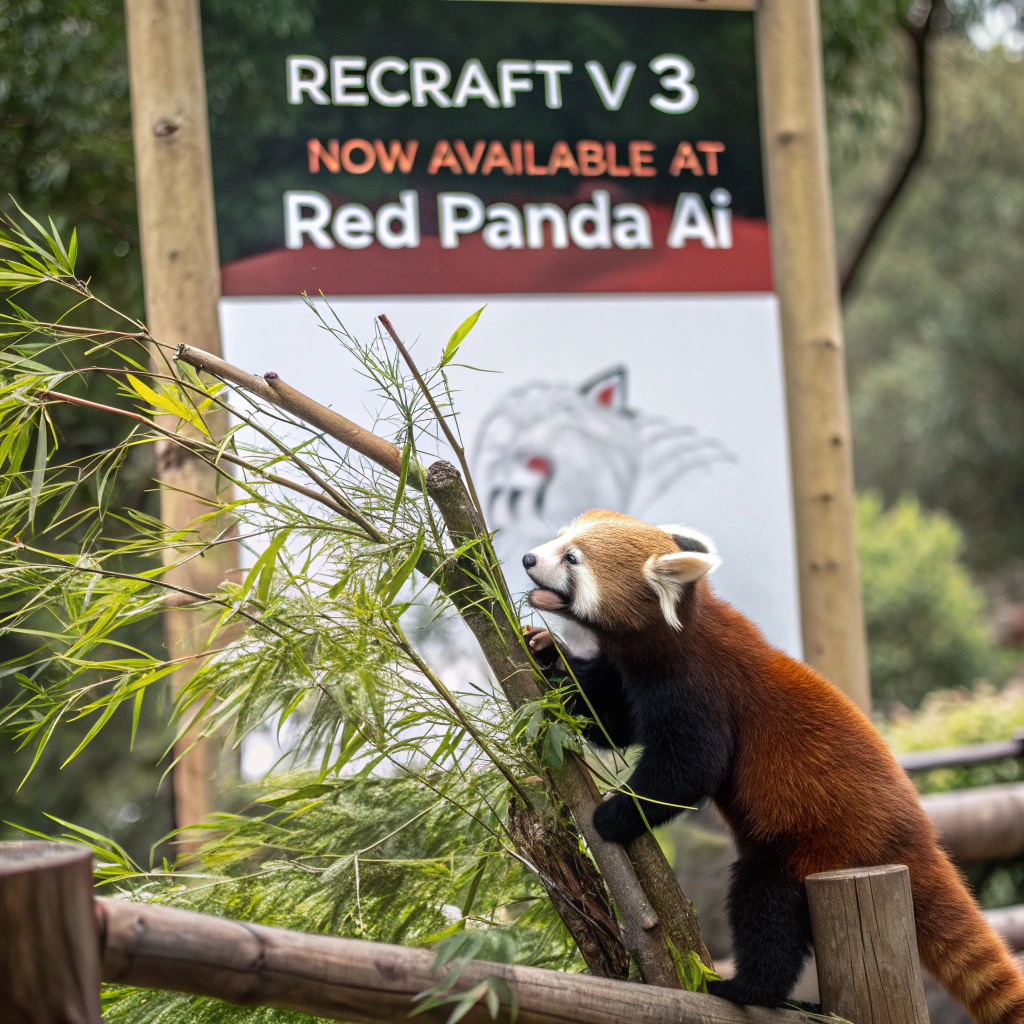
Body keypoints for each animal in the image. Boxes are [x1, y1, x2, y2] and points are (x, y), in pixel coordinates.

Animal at [521, 508, 1024, 1024]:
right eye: (558, 538)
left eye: (572, 559)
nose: (527, 558)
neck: (674, 636)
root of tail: (917, 840)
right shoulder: (633, 677)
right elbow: (608, 723)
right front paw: (544, 650)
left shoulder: (698, 686)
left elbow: (687, 769)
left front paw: (614, 814)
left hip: (816, 846)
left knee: (765, 905)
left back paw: (748, 988)